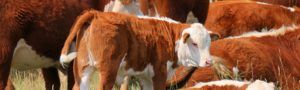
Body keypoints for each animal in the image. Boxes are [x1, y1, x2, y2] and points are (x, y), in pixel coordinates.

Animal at [58, 9, 218, 89]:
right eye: (194, 43)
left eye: (209, 44)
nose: (209, 62)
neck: (171, 37)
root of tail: (97, 14)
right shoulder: (159, 73)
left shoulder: (146, 77)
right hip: (108, 71)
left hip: (83, 69)